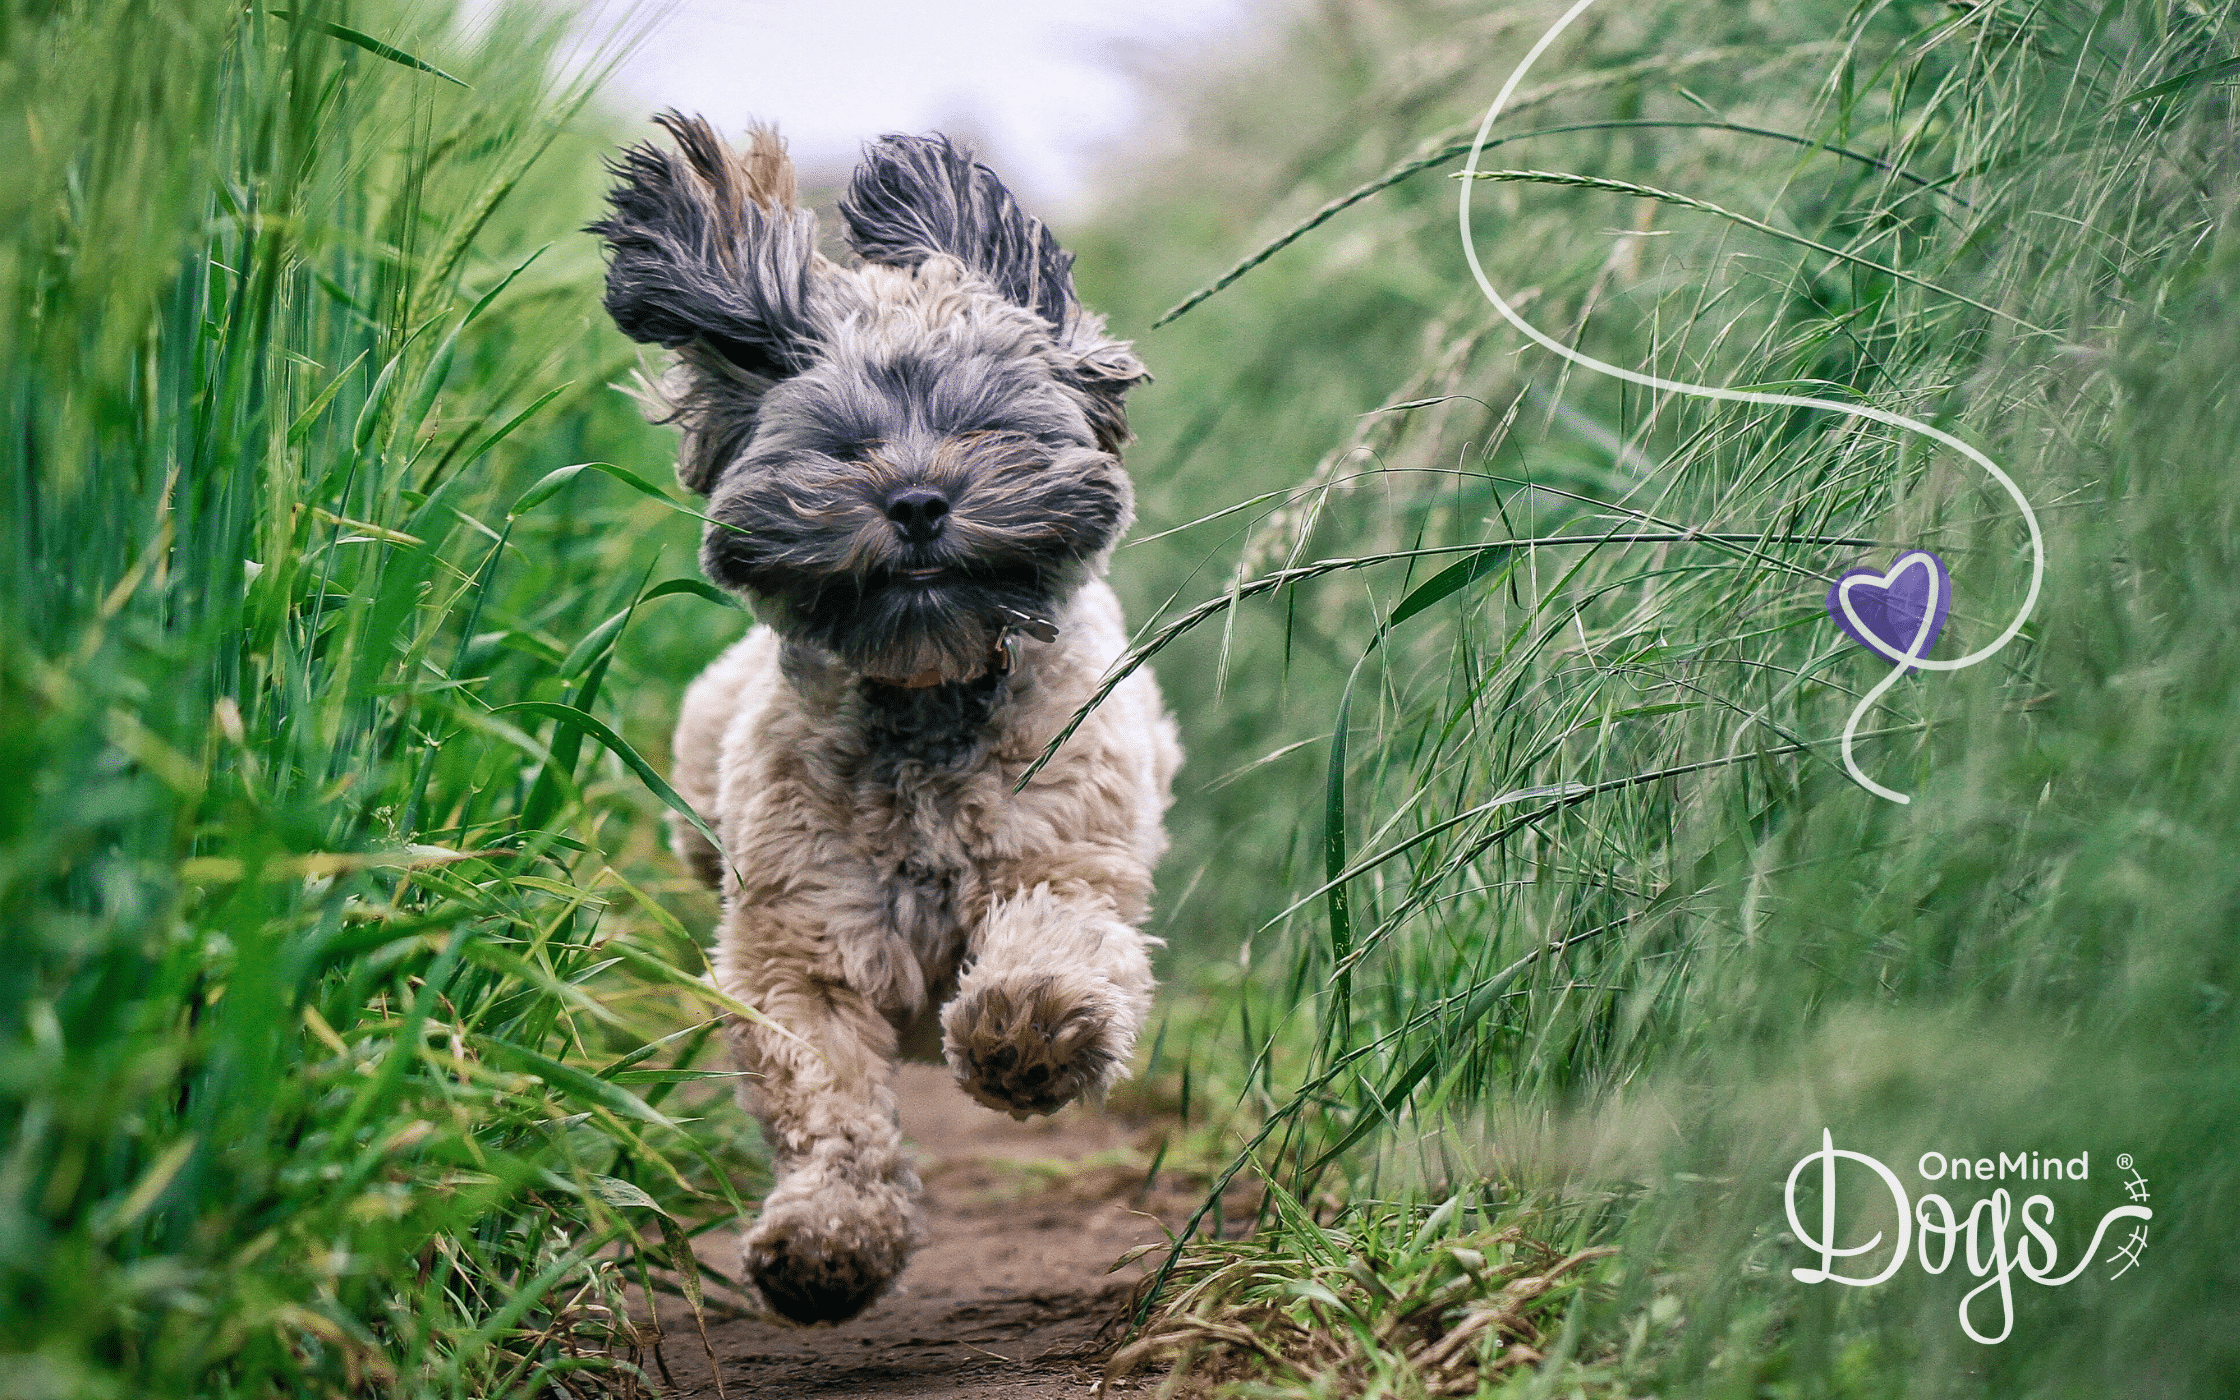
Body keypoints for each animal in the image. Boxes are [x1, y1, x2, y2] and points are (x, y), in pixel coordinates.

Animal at [586, 117, 1182, 1317]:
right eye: (840, 444)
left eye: (983, 428)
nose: (914, 501)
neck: (928, 697)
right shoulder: (801, 943)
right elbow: (825, 1094)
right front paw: (829, 1234)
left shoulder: (1070, 856)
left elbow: (1059, 938)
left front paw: (1024, 1034)